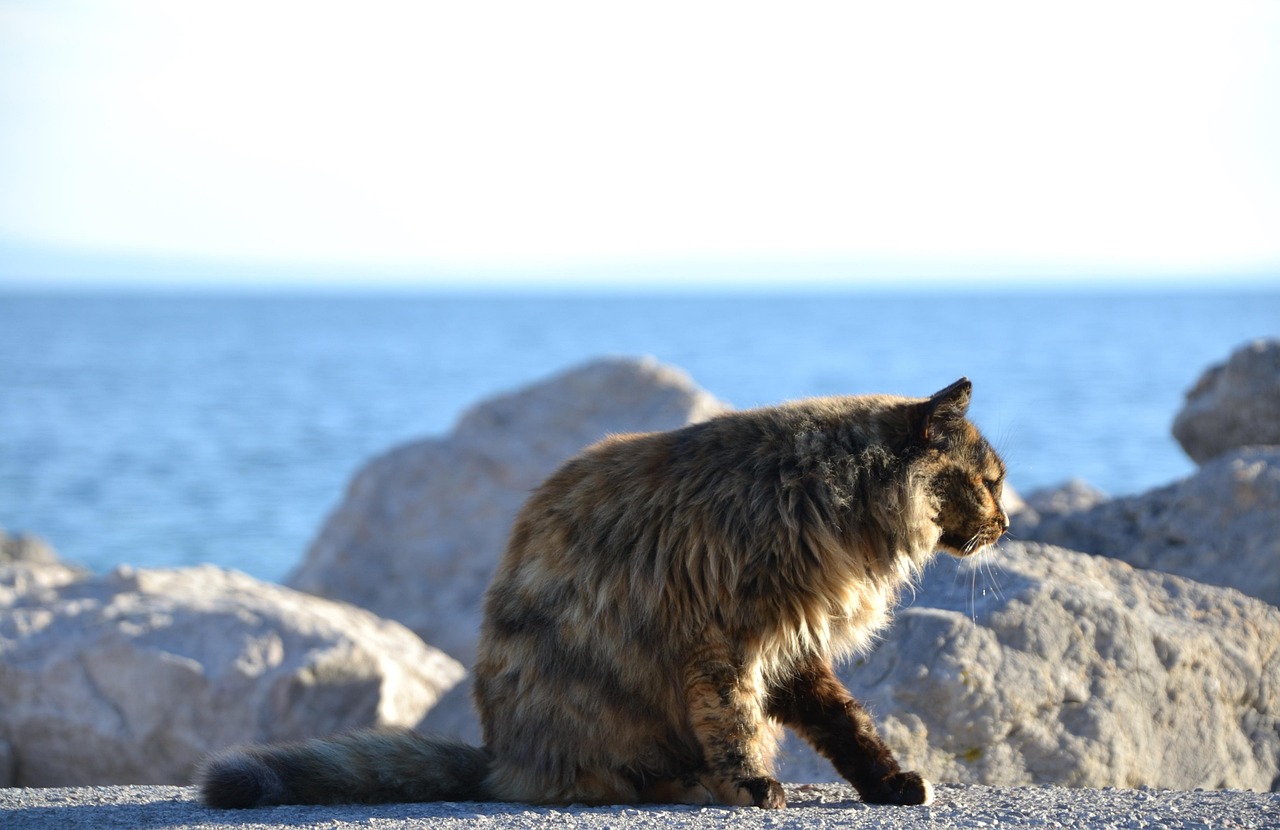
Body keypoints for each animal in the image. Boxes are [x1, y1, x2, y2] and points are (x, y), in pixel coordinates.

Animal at [197, 376, 1008, 809]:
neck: (832, 497)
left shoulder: (792, 645)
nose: (1005, 522)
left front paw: (888, 781)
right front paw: (753, 784)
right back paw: (689, 783)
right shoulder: (725, 637)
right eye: (991, 481)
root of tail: (500, 758)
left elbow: (847, 721)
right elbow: (736, 720)